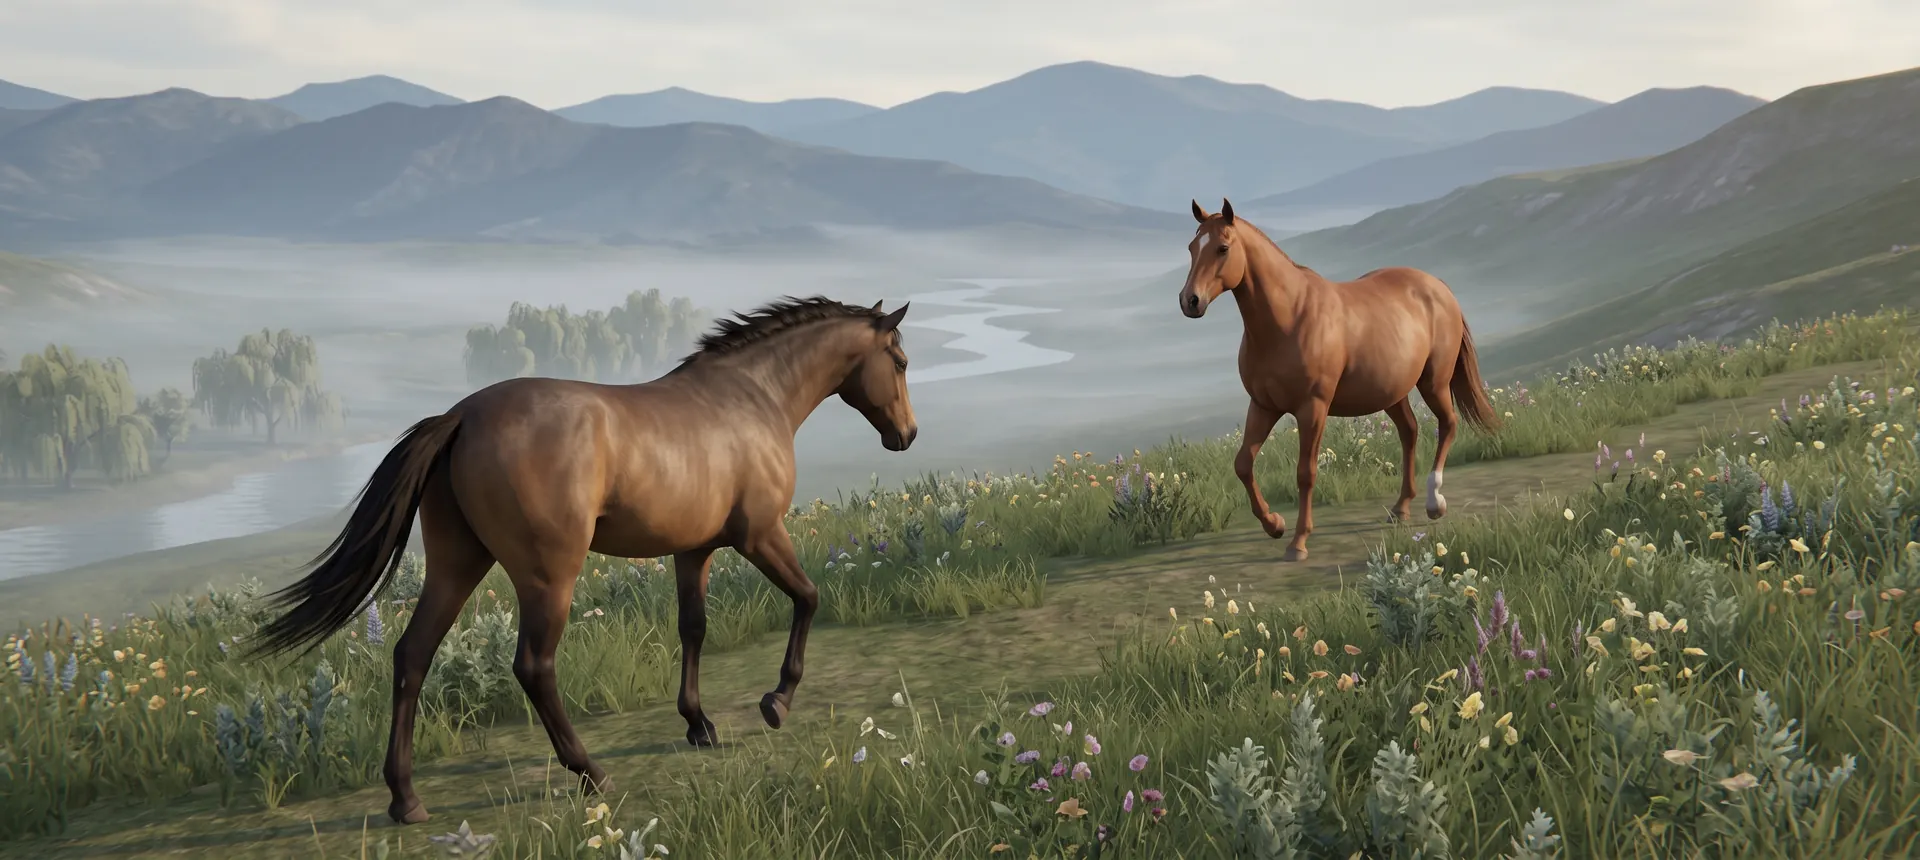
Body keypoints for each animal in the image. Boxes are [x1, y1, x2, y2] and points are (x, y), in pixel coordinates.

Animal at [249, 296, 919, 825]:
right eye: (901, 362)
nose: (907, 435)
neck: (751, 399)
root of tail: (461, 416)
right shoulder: (760, 536)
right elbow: (807, 596)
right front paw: (776, 702)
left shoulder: (693, 551)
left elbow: (693, 629)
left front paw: (698, 725)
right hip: (550, 577)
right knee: (533, 667)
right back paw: (590, 772)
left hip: (456, 566)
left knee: (411, 655)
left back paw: (405, 799)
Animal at [1178, 198, 1499, 561]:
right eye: (1192, 247)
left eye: (1222, 248)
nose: (1190, 301)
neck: (1289, 318)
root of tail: (1439, 287)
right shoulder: (1263, 405)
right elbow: (1243, 464)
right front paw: (1274, 524)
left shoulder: (1312, 408)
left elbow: (1306, 473)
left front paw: (1298, 542)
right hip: (1392, 392)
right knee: (1410, 432)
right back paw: (1400, 508)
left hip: (1434, 383)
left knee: (1447, 424)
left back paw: (1434, 503)